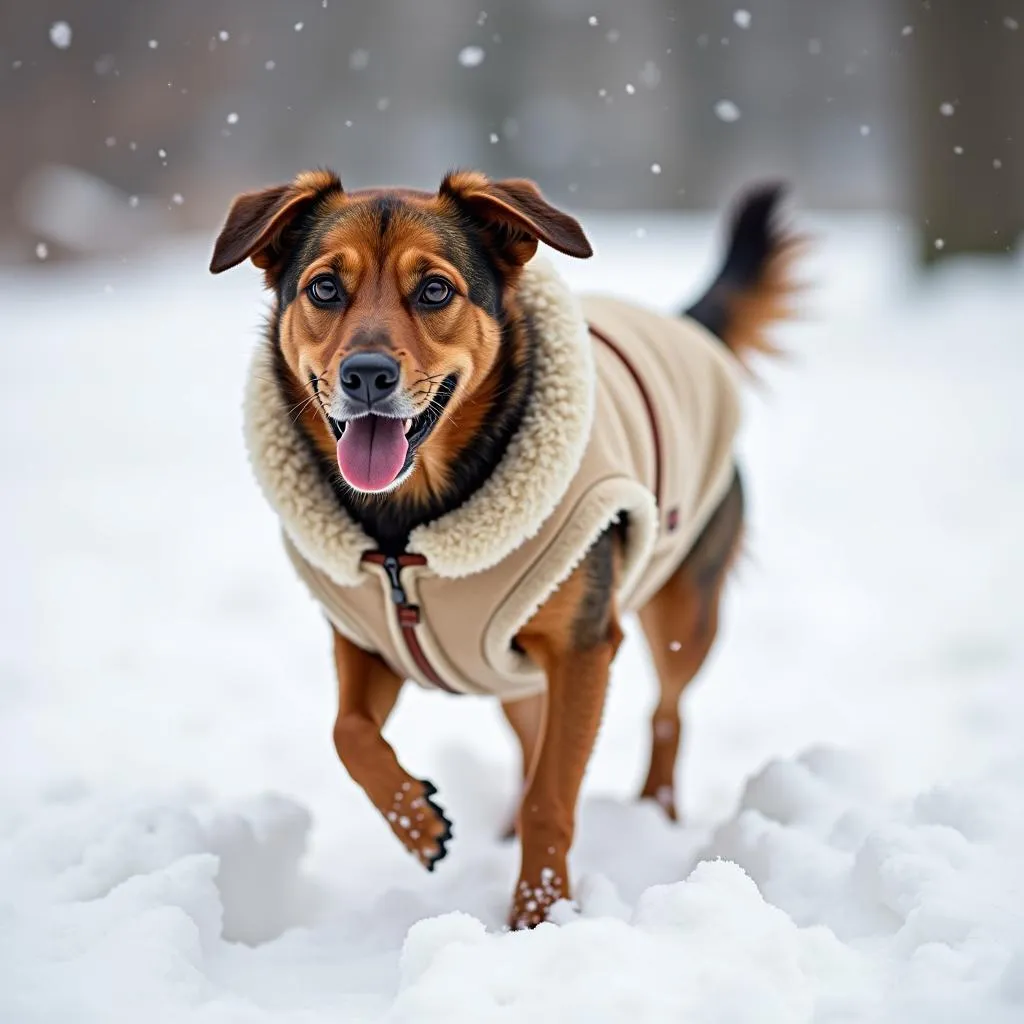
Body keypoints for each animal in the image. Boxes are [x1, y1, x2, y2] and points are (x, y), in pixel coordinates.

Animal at [207, 169, 798, 929]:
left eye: (435, 290)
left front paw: (538, 918)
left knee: (665, 713)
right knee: (531, 735)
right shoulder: (365, 641)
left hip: (682, 614)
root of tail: (684, 325)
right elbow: (347, 732)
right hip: (513, 667)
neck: (406, 529)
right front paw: (418, 823)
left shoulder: (583, 648)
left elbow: (554, 796)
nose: (366, 374)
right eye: (325, 288)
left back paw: (655, 810)